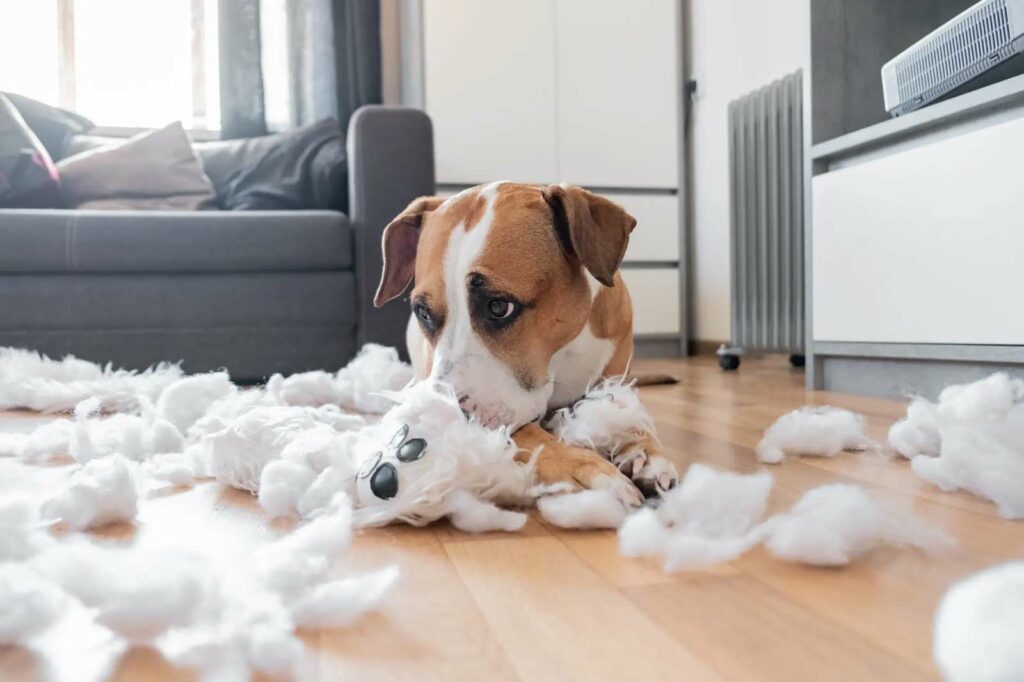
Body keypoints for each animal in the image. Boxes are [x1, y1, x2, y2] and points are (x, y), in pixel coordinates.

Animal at [376, 180, 679, 503]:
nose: (443, 419)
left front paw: (646, 451)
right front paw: (587, 469)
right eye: (423, 312)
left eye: (499, 307)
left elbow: (627, 413)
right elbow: (529, 435)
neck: (562, 355)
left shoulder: (615, 379)